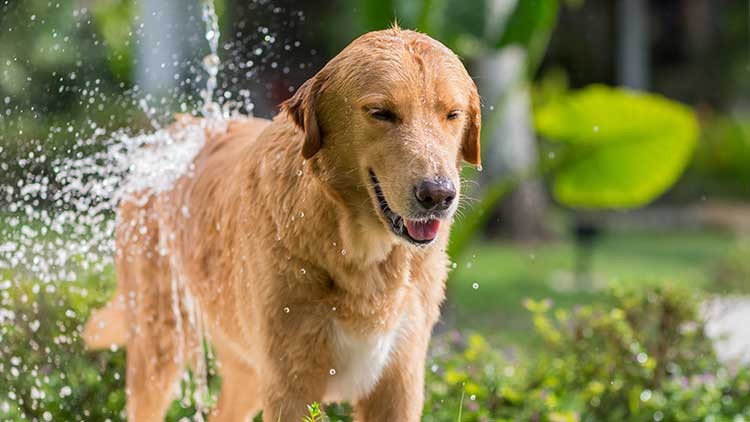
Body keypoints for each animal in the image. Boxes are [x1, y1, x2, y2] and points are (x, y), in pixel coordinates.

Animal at [82, 27, 482, 422]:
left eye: (452, 114)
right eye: (381, 113)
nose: (438, 195)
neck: (357, 250)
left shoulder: (399, 378)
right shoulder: (289, 381)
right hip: (160, 341)